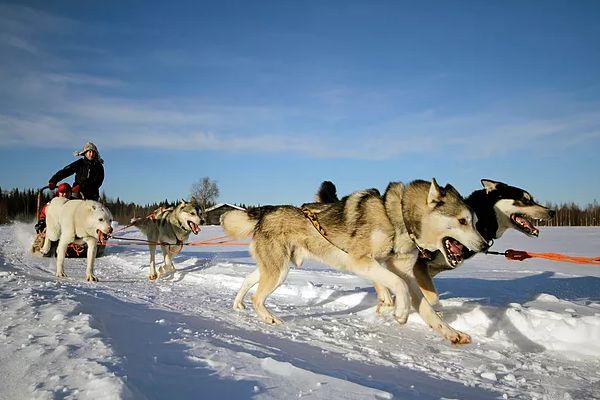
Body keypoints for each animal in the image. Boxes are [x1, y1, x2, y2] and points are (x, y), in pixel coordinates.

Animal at [223, 179, 490, 344]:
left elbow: (427, 309)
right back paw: (269, 317)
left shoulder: (403, 272)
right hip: (279, 271)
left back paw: (238, 304)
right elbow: (399, 286)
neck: (395, 217)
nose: (485, 245)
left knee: (248, 281)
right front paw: (400, 312)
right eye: (462, 221)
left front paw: (453, 334)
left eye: (474, 222)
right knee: (258, 297)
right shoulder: (362, 262)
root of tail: (265, 211)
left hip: (276, 268)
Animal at [312, 178, 556, 306]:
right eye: (524, 200)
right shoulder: (419, 265)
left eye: (530, 198)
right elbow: (431, 296)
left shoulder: (425, 269)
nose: (552, 212)